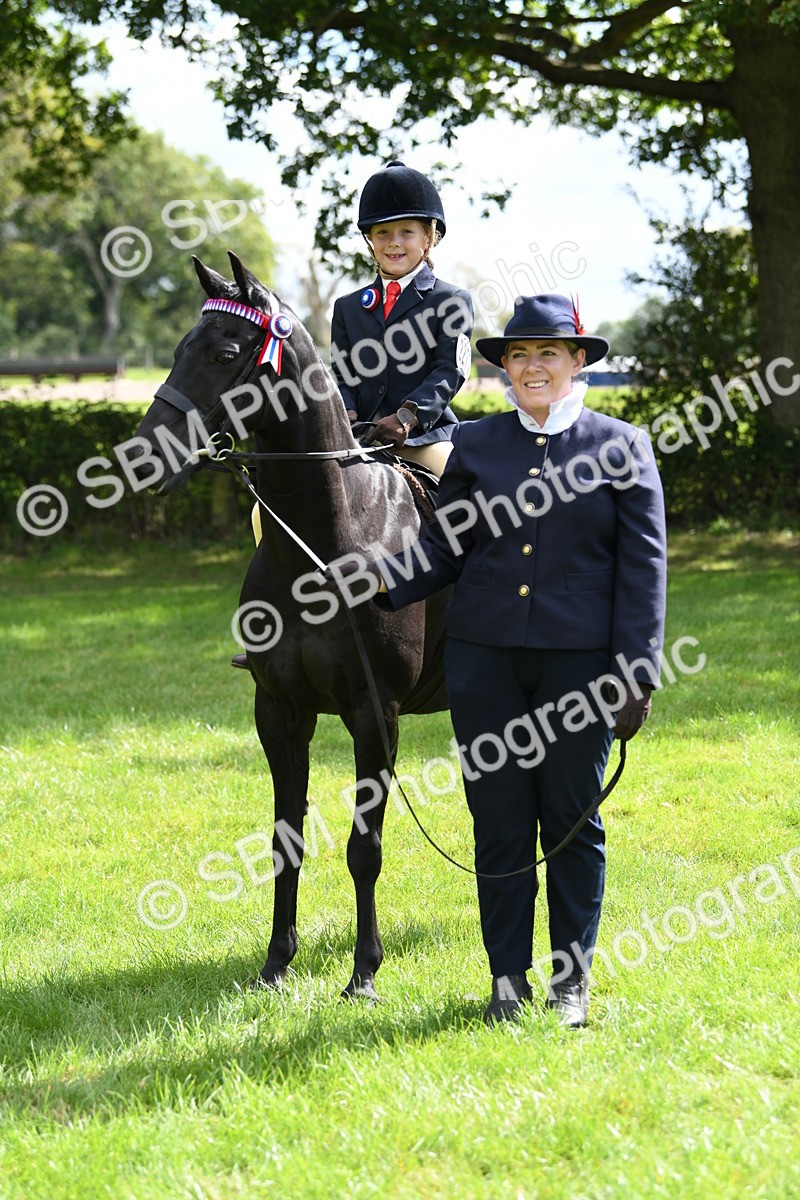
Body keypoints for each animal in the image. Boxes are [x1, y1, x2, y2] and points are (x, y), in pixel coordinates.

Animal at [132, 252, 450, 1000]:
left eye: (225, 354)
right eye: (179, 348)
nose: (142, 457)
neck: (329, 536)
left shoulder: (374, 712)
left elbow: (365, 847)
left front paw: (364, 973)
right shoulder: (278, 709)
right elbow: (286, 840)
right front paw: (277, 963)